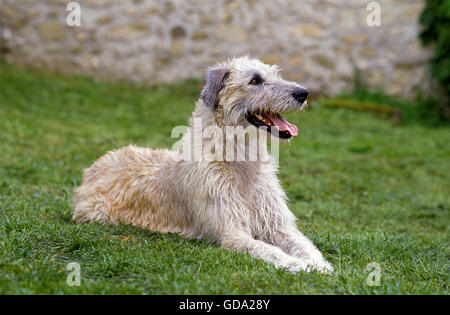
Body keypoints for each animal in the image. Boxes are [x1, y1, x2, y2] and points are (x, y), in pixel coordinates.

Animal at [74, 56, 332, 274]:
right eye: (255, 80)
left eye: (275, 74)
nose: (303, 93)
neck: (238, 161)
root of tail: (96, 165)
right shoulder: (232, 233)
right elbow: (267, 249)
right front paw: (297, 264)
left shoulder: (278, 226)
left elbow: (304, 244)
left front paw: (318, 264)